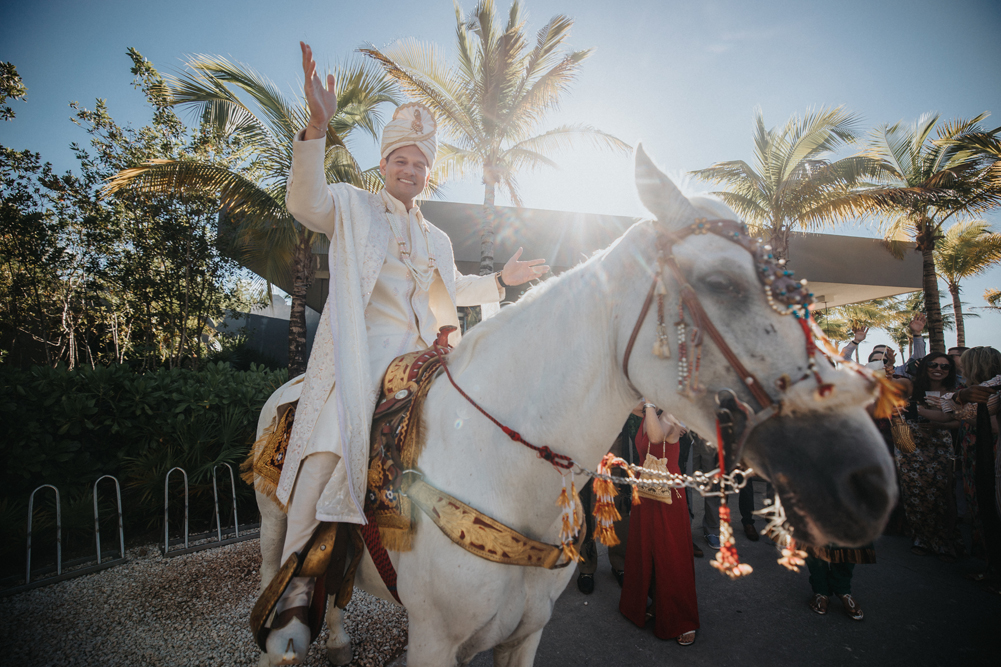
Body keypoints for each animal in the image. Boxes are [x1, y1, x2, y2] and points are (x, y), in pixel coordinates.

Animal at [254, 148, 896, 660]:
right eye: (722, 283)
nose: (869, 482)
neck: (500, 468)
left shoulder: (523, 634)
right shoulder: (434, 642)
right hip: (275, 516)